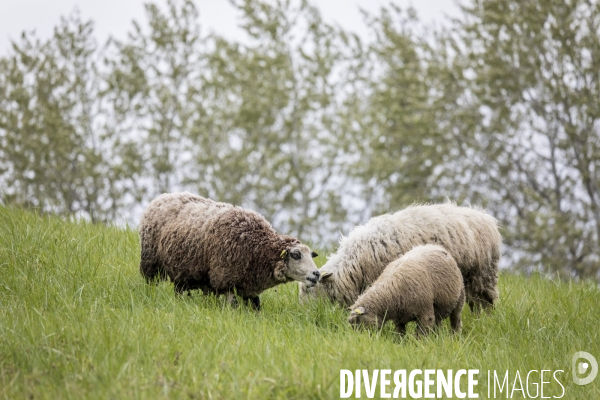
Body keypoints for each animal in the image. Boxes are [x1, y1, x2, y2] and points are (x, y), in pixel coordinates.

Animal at [139, 191, 324, 310]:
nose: (316, 274)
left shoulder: (248, 288)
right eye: (296, 255)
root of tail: (163, 197)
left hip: (181, 272)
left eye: (311, 255)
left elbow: (256, 307)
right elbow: (233, 306)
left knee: (179, 290)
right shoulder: (225, 279)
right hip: (150, 262)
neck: (257, 248)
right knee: (150, 283)